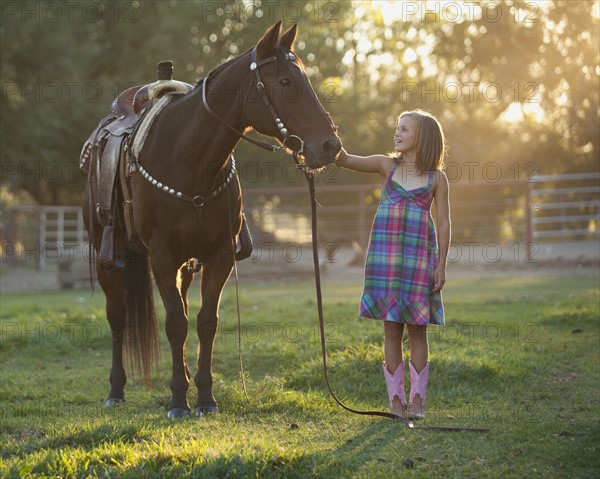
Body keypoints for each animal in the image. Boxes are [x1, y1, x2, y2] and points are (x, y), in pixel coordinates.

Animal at [83, 21, 342, 420]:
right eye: (285, 81)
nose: (330, 146)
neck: (187, 158)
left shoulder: (218, 255)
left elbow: (205, 321)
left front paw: (204, 396)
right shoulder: (161, 255)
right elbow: (175, 324)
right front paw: (178, 401)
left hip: (185, 265)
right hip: (107, 253)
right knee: (118, 315)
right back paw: (116, 390)